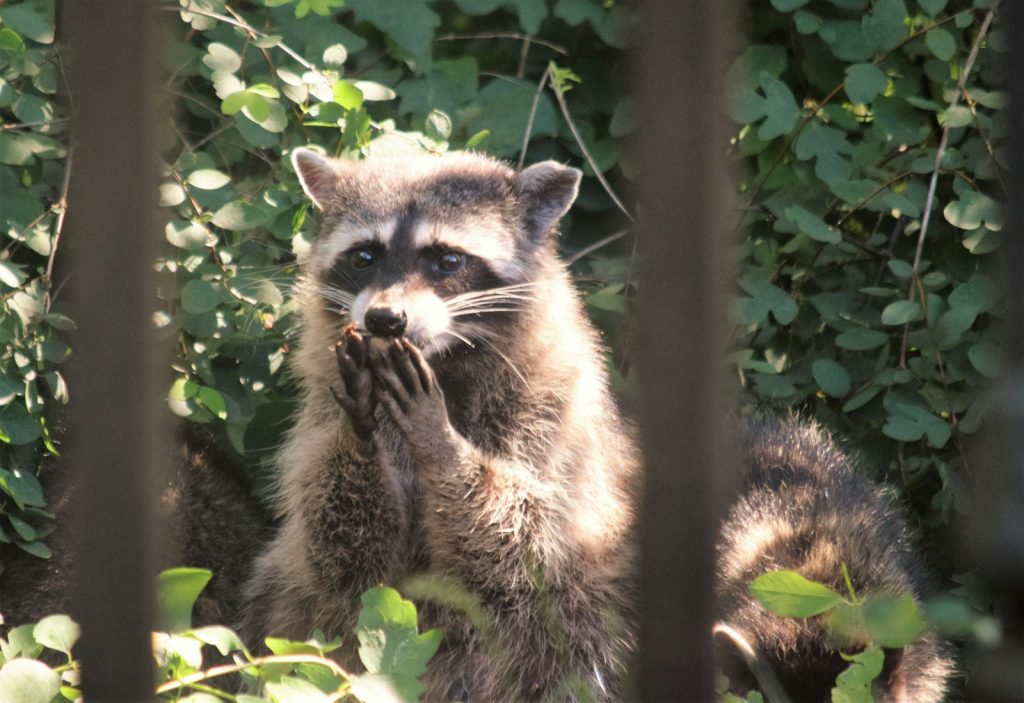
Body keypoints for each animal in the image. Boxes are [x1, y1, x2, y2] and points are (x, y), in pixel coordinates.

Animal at [239, 148, 639, 700]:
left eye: (448, 259)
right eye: (364, 256)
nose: (386, 320)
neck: (443, 362)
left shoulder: (553, 409)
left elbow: (529, 540)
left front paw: (441, 444)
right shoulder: (319, 404)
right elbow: (339, 553)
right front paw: (359, 434)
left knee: (578, 634)